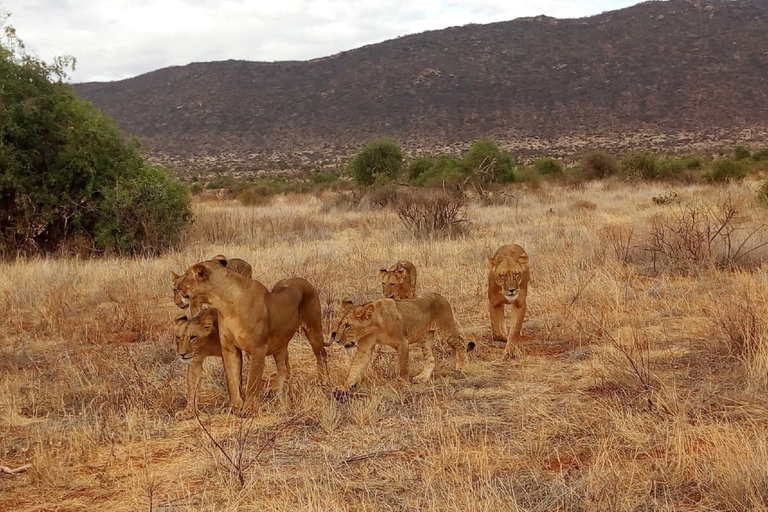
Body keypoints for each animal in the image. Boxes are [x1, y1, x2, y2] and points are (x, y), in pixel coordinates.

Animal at [174, 260, 328, 416]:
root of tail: (303, 280)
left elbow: (252, 382)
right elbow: (232, 380)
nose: (177, 287)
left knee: (321, 354)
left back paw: (323, 380)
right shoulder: (229, 348)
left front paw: (249, 410)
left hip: (313, 329)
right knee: (284, 368)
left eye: (186, 275)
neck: (225, 305)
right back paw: (277, 392)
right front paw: (235, 407)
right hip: (280, 343)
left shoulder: (258, 348)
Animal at [326, 292, 474, 392]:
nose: (337, 340)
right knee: (431, 358)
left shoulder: (403, 343)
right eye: (340, 324)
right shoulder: (365, 347)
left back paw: (463, 365)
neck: (375, 326)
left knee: (461, 342)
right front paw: (344, 386)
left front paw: (401, 384)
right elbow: (355, 367)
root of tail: (440, 296)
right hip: (425, 338)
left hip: (446, 330)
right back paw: (422, 377)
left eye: (348, 326)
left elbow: (402, 366)